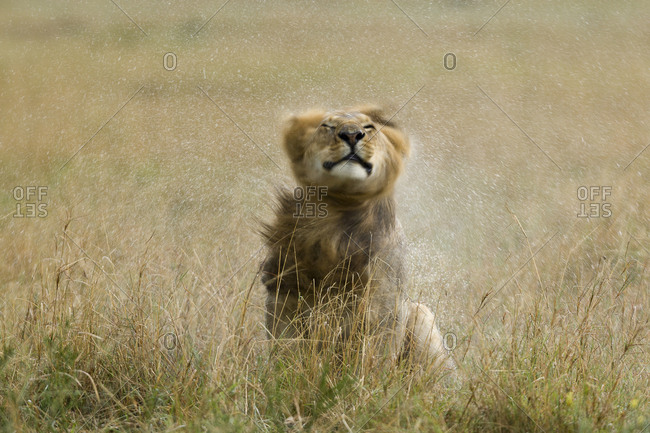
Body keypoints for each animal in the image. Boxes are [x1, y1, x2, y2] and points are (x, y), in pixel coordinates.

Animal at [261, 105, 451, 371]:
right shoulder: (283, 300)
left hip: (421, 314)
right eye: (327, 126)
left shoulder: (385, 312)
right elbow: (286, 356)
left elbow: (374, 363)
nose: (352, 135)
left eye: (369, 127)